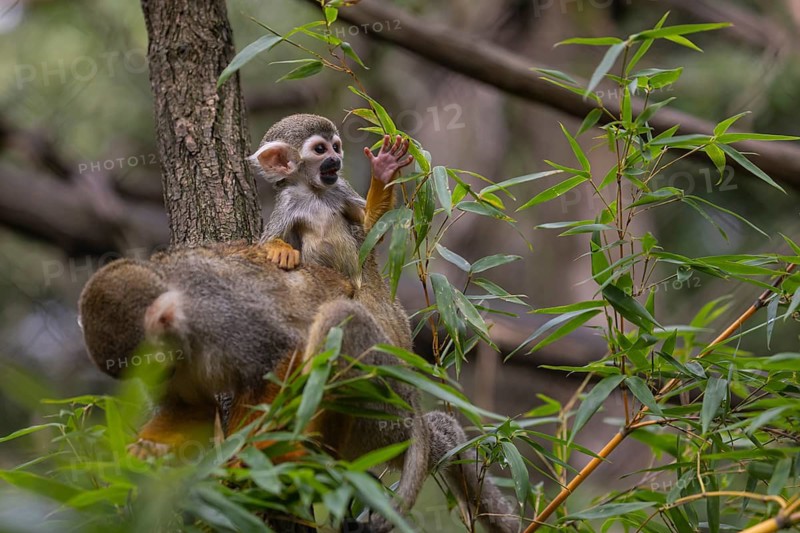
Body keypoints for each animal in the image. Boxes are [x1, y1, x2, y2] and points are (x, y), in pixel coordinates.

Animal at [249, 114, 412, 286]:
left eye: (335, 147)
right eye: (320, 149)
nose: (335, 159)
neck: (314, 191)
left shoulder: (341, 187)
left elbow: (372, 229)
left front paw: (384, 169)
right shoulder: (287, 198)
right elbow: (266, 241)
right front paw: (280, 249)